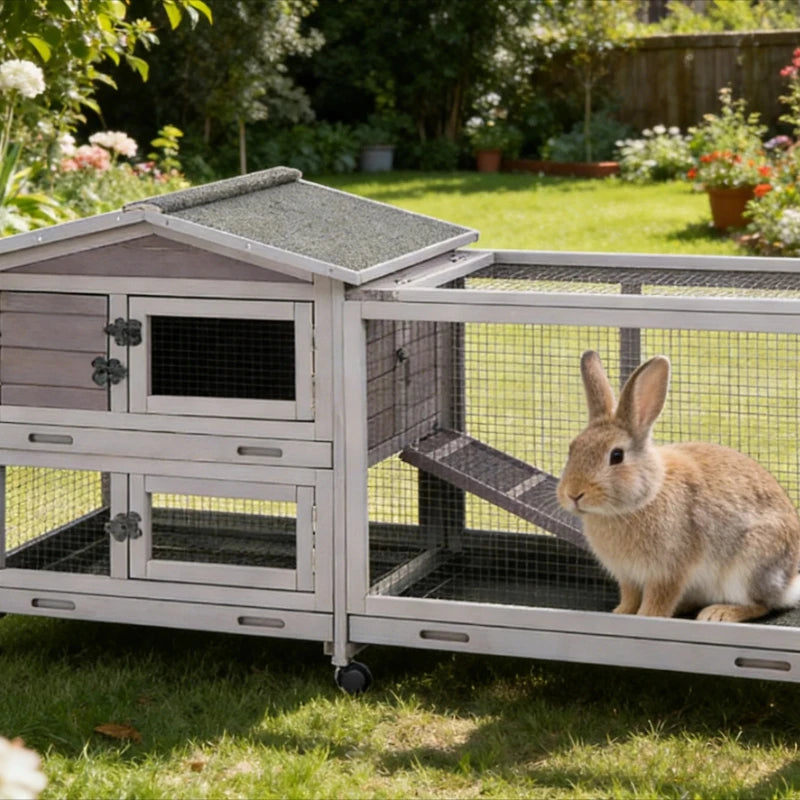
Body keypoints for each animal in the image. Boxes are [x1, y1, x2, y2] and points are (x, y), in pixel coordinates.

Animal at [556, 349, 800, 623]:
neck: (645, 497)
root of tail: (788, 584)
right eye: (572, 449)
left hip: (749, 566)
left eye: (616, 456)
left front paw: (648, 616)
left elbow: (659, 599)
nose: (573, 494)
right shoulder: (628, 575)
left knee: (762, 604)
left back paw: (719, 613)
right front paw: (621, 612)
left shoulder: (669, 571)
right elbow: (630, 595)